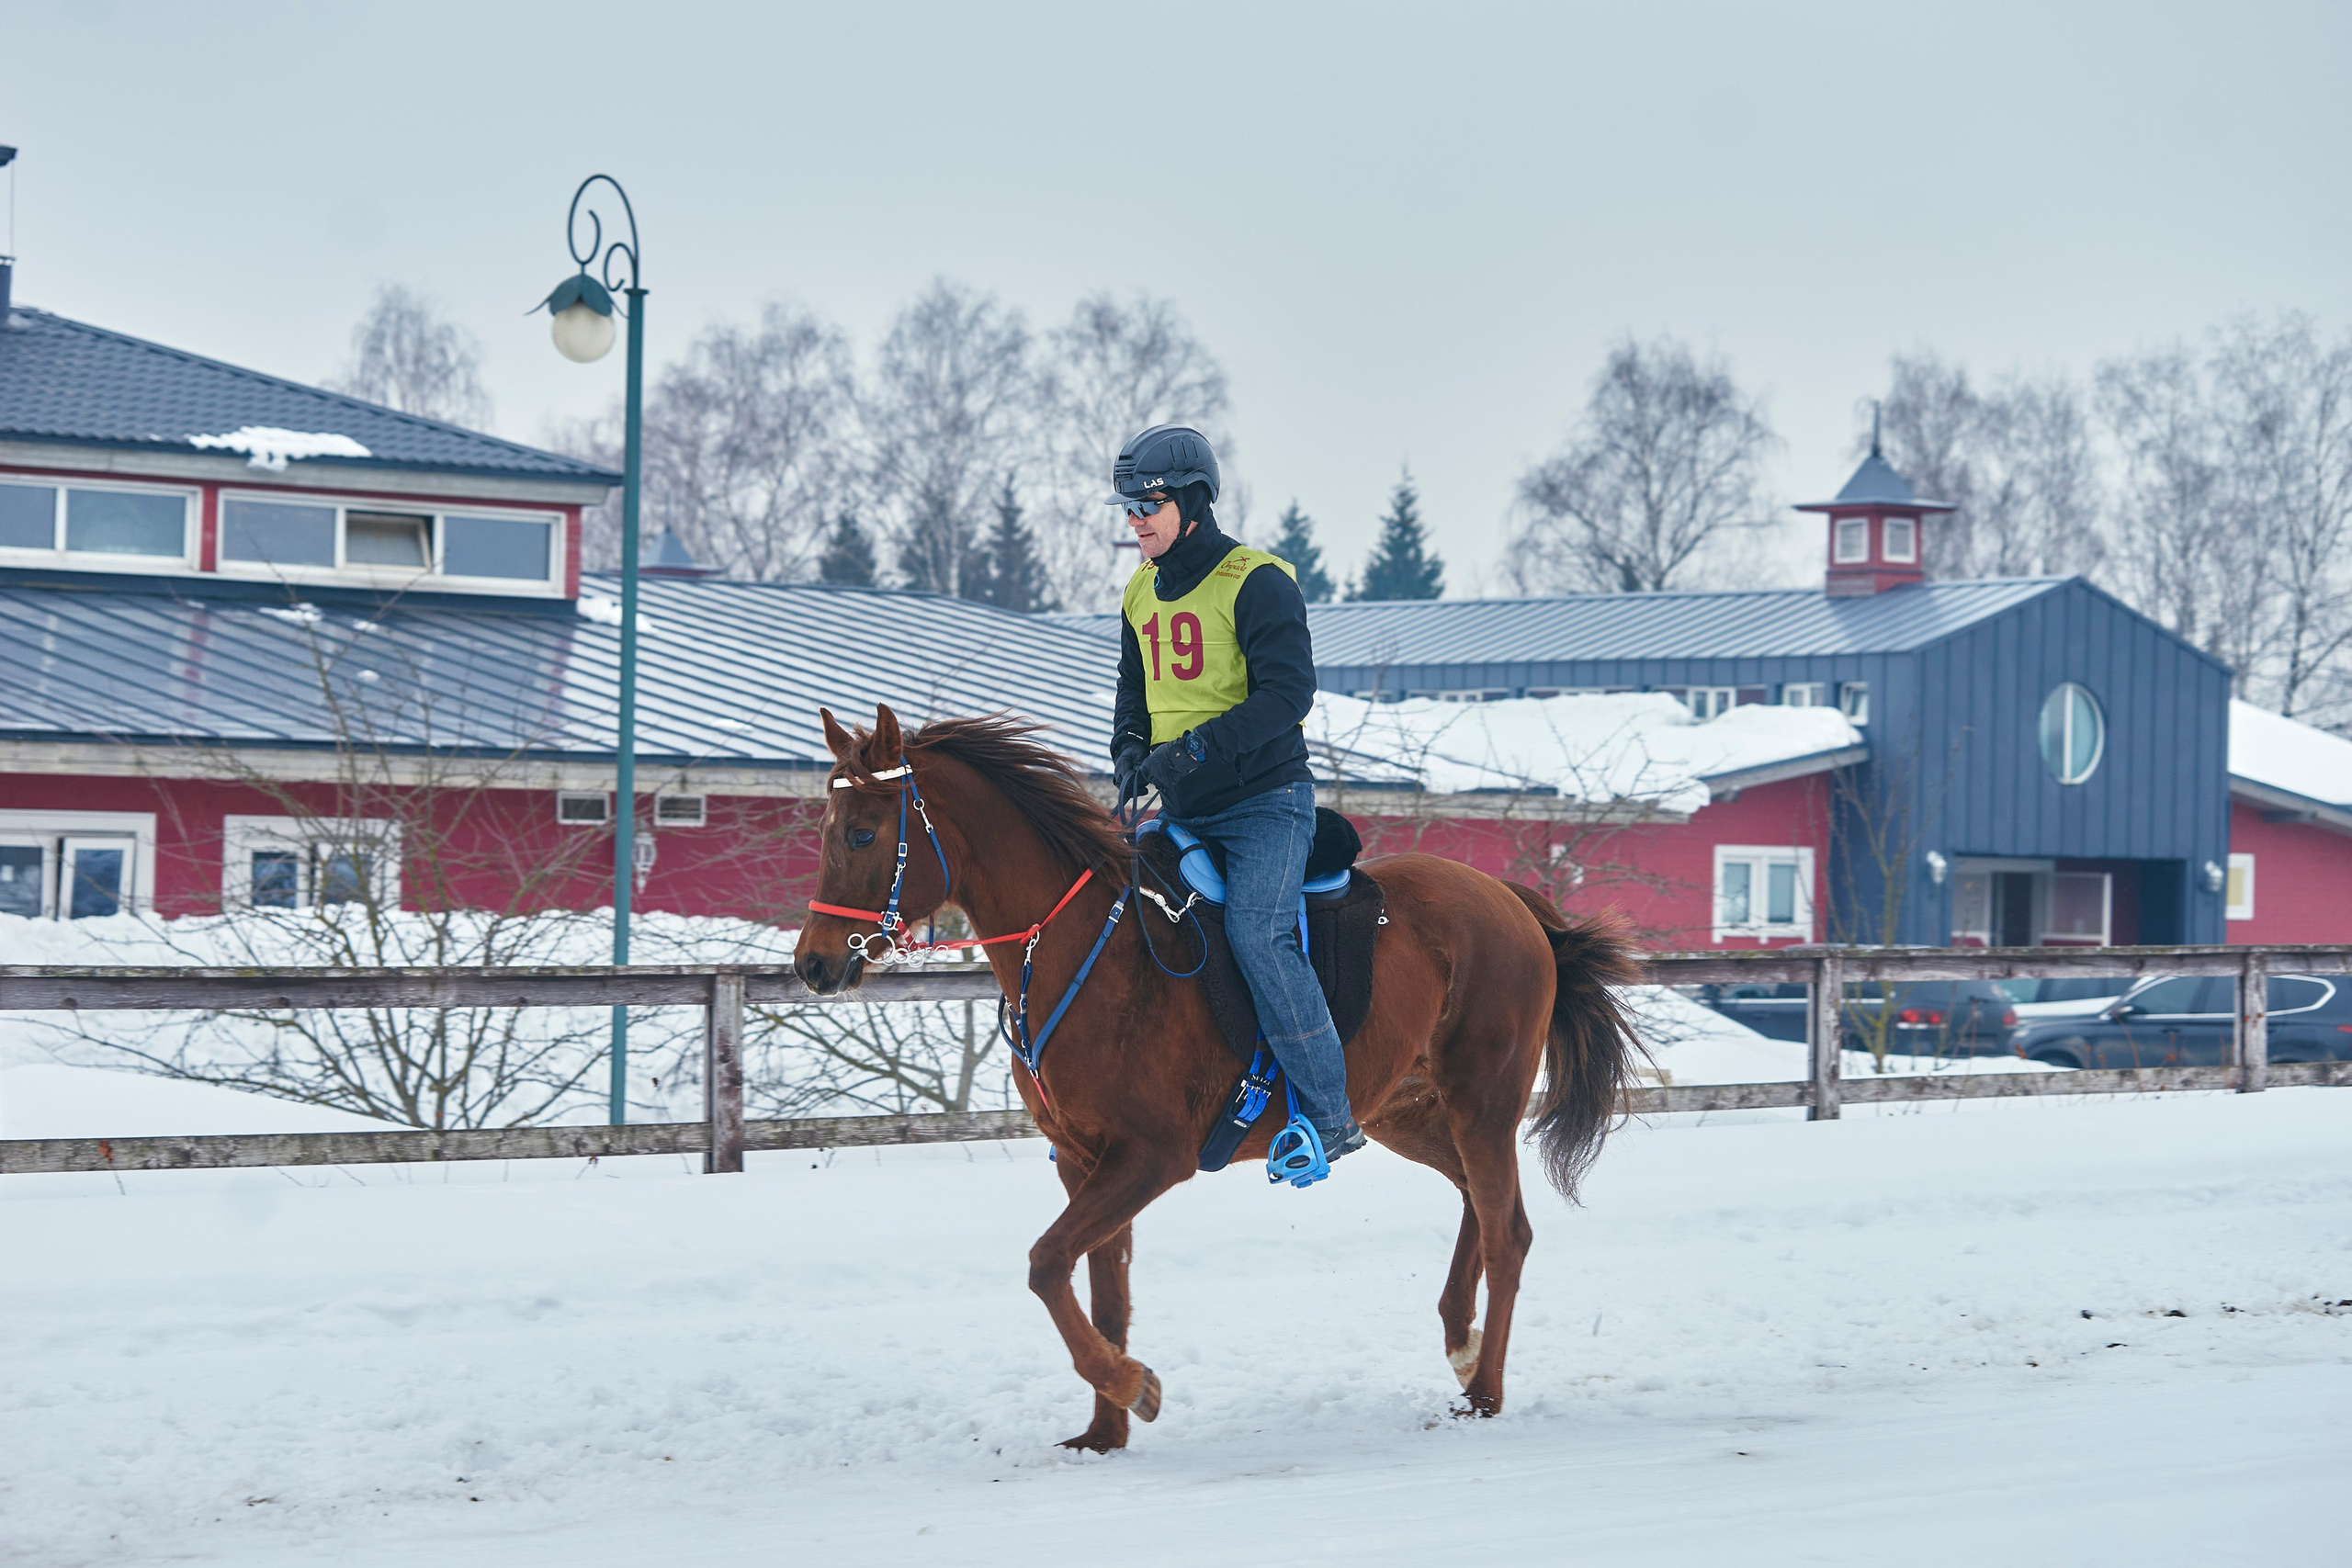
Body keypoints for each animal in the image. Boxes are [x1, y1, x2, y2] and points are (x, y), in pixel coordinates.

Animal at [793, 704, 1646, 1452]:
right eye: (827, 830)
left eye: (863, 832)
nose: (812, 963)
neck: (1083, 949)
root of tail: (1512, 902)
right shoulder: (1085, 1160)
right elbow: (1097, 1290)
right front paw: (1104, 1432)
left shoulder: (1150, 1157)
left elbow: (1046, 1265)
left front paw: (1133, 1384)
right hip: (1405, 1112)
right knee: (1478, 1198)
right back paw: (1460, 1337)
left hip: (1482, 1101)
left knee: (1507, 1231)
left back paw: (1484, 1391)